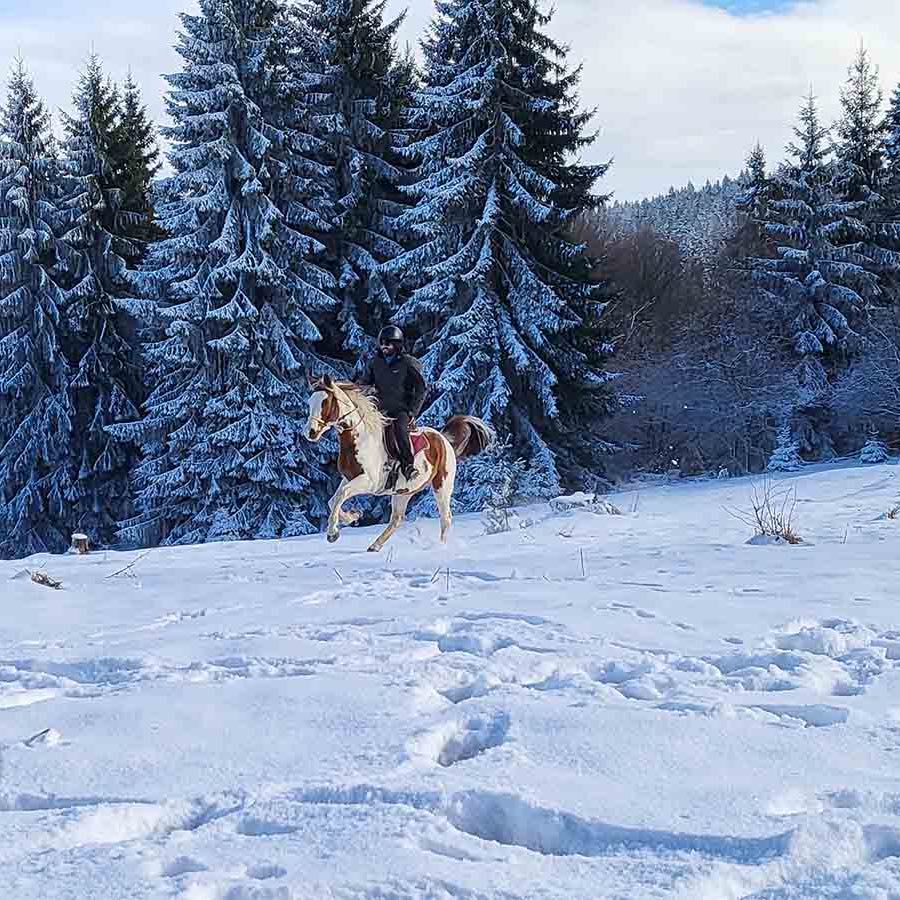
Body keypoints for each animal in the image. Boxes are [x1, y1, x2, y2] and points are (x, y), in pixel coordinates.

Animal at [306, 376, 496, 552]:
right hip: (403, 492)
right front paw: (353, 516)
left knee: (445, 518)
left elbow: (341, 495)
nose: (310, 432)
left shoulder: (368, 482)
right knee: (397, 519)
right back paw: (374, 546)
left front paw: (333, 534)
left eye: (325, 402)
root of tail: (444, 439)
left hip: (442, 485)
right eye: (310, 402)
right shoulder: (349, 478)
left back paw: (440, 546)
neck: (361, 440)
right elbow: (333, 501)